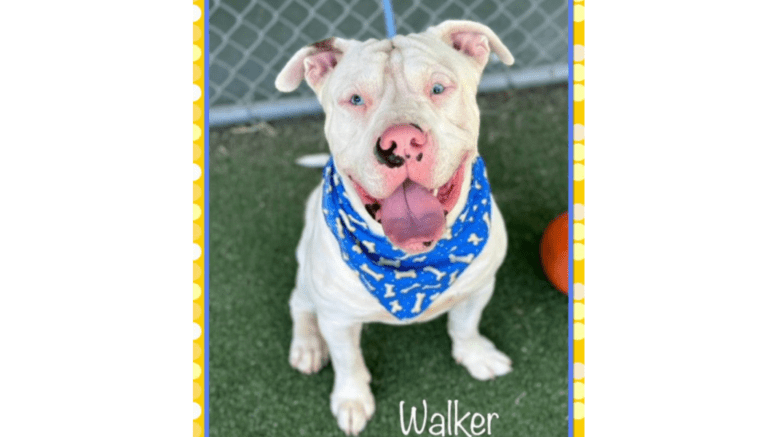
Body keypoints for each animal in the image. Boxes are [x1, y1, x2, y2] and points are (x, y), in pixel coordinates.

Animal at [274, 19, 516, 432]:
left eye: (438, 88)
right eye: (356, 100)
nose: (401, 142)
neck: (413, 264)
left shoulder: (480, 287)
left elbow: (465, 325)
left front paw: (475, 355)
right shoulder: (337, 319)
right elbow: (349, 362)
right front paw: (352, 400)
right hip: (307, 278)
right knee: (299, 304)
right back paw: (308, 346)